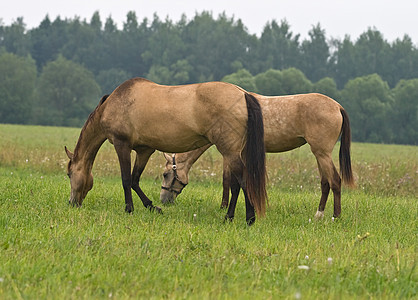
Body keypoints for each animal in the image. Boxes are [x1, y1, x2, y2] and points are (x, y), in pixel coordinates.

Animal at [65, 78, 268, 225]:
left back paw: (249, 219)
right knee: (236, 185)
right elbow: (135, 180)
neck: (115, 103)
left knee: (243, 182)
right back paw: (229, 217)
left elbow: (125, 179)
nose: (71, 203)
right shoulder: (145, 150)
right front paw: (152, 207)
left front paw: (129, 209)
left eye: (68, 174)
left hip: (230, 152)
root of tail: (243, 94)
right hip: (233, 153)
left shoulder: (121, 145)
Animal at [158, 92, 354, 219]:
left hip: (323, 154)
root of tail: (337, 106)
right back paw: (319, 214)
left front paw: (224, 207)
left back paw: (336, 216)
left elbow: (228, 181)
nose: (164, 200)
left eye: (166, 174)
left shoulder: (231, 154)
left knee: (335, 181)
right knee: (325, 183)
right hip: (319, 154)